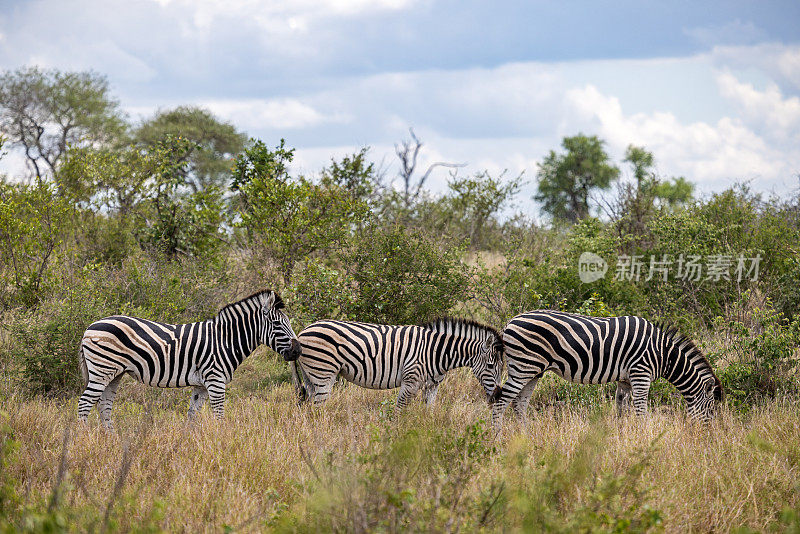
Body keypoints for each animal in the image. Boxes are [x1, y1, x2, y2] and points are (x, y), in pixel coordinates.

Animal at [77, 292, 300, 430]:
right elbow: (219, 415)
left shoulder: (201, 384)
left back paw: (110, 439)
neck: (225, 339)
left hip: (114, 373)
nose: (297, 351)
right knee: (85, 403)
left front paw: (188, 442)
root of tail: (90, 327)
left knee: (104, 405)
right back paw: (84, 440)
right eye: (278, 324)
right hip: (102, 370)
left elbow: (192, 414)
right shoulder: (215, 380)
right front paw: (222, 441)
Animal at [286, 318, 500, 410]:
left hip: (311, 376)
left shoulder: (432, 386)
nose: (497, 397)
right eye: (490, 366)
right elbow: (400, 411)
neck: (437, 352)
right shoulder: (410, 382)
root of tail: (301, 332)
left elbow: (429, 412)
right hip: (324, 374)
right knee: (317, 409)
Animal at [494, 312, 724, 430]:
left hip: (533, 370)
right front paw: (644, 436)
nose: (709, 435)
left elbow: (621, 408)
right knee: (501, 400)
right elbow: (641, 410)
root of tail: (510, 321)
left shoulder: (625, 379)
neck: (663, 354)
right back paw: (497, 437)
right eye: (712, 410)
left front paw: (622, 435)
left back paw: (526, 436)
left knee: (519, 403)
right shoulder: (641, 373)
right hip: (523, 366)